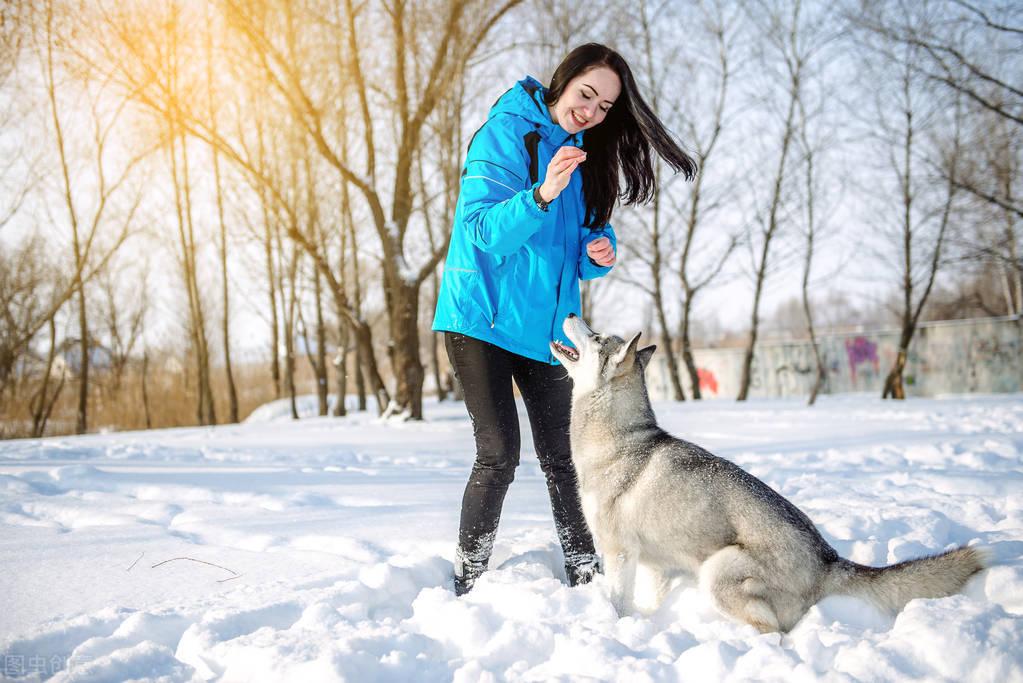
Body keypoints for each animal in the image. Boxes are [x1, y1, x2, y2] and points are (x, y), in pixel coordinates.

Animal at [552, 316, 990, 633]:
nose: (570, 313)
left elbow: (617, 604)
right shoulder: (653, 564)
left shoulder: (618, 553)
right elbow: (650, 601)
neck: (620, 438)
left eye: (595, 337)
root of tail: (829, 560)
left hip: (718, 570)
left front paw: (617, 628)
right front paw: (651, 622)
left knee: (771, 630)